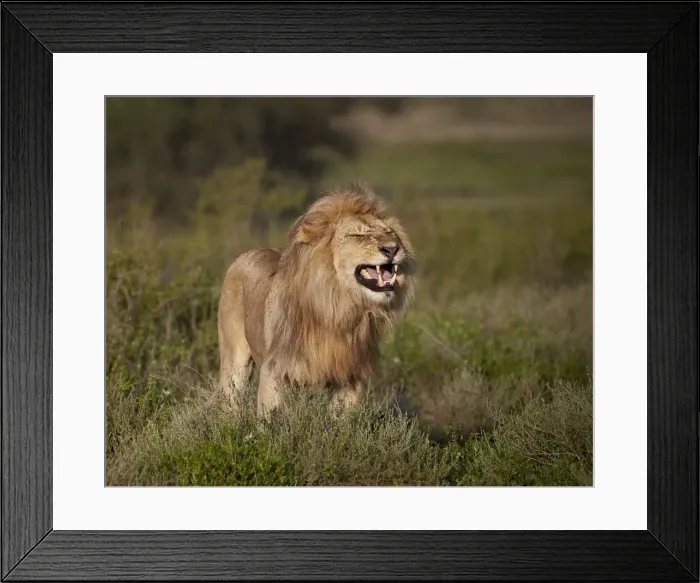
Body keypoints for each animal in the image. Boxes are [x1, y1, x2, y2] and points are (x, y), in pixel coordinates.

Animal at [217, 183, 416, 418]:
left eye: (389, 232)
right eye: (358, 235)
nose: (392, 248)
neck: (337, 306)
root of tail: (246, 254)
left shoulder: (350, 377)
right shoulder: (274, 370)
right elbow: (271, 421)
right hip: (234, 360)